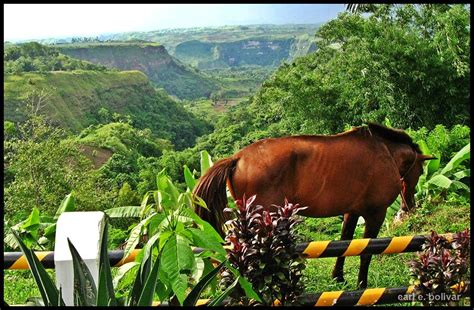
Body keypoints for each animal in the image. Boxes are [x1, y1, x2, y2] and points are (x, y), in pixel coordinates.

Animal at [192, 123, 434, 288]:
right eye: (420, 171)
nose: (409, 207)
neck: (385, 152)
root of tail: (237, 158)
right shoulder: (376, 214)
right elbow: (366, 252)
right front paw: (362, 285)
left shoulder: (351, 212)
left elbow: (345, 244)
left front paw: (338, 277)